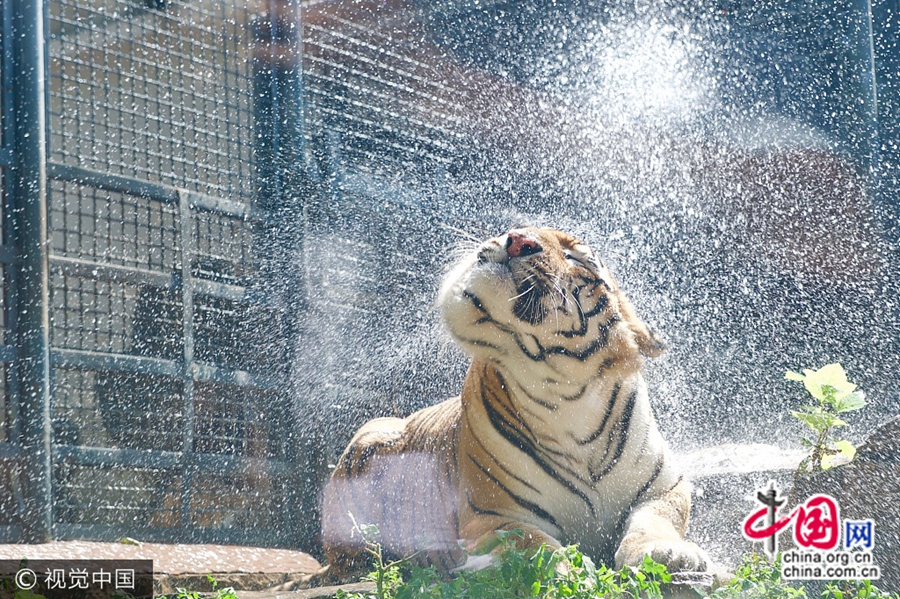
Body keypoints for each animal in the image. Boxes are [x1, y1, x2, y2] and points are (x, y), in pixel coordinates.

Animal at [322, 226, 712, 580]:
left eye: (574, 257)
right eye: (521, 229)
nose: (518, 240)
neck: (567, 399)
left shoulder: (664, 488)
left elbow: (656, 521)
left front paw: (669, 553)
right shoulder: (492, 517)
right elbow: (531, 544)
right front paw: (569, 570)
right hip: (371, 437)